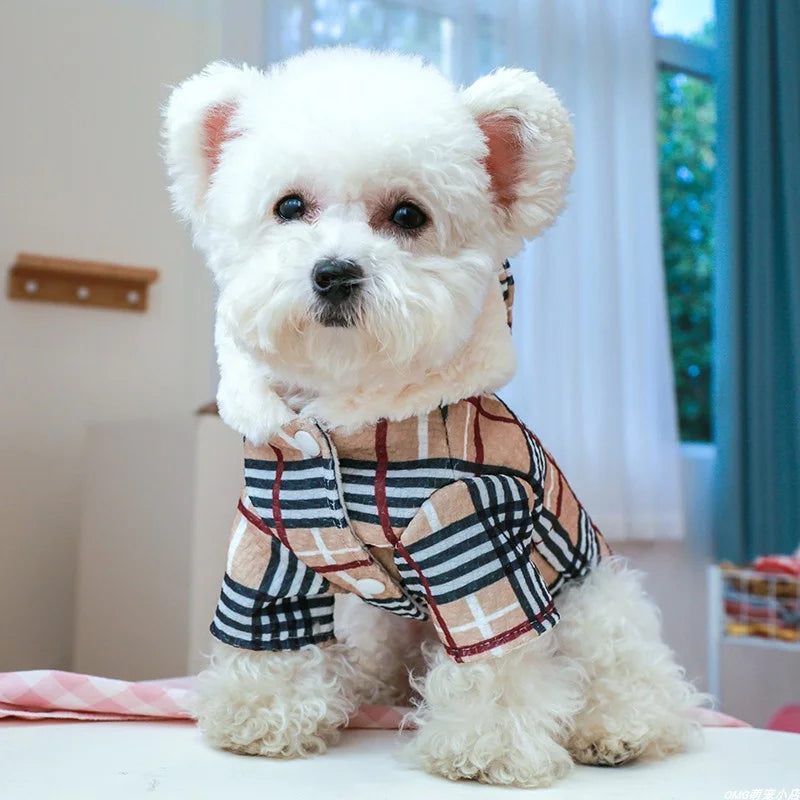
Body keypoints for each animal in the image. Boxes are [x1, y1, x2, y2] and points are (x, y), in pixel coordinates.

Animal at [162, 47, 700, 784]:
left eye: (408, 215)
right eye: (290, 206)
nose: (334, 272)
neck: (355, 430)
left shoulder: (474, 528)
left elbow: (496, 651)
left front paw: (486, 745)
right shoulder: (272, 533)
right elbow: (270, 623)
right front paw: (263, 713)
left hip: (596, 600)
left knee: (634, 675)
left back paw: (617, 728)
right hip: (383, 622)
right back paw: (367, 688)